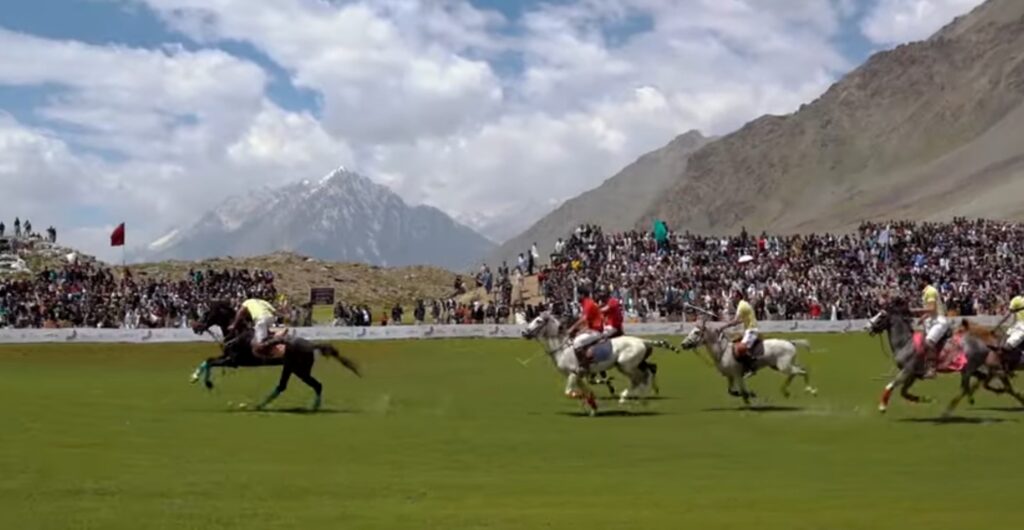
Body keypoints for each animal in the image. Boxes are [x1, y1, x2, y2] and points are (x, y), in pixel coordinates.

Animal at [190, 302, 362, 411]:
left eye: (206, 313)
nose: (195, 326)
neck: (237, 332)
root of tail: (311, 345)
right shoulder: (228, 359)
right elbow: (208, 360)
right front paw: (197, 378)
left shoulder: (233, 361)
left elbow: (210, 361)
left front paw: (205, 382)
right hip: (292, 368)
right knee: (286, 386)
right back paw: (262, 405)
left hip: (299, 370)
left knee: (315, 385)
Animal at [520, 311, 679, 415]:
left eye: (538, 321)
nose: (524, 332)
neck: (563, 348)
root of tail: (643, 341)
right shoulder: (579, 375)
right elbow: (587, 390)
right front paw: (593, 407)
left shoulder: (573, 373)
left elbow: (570, 392)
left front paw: (589, 401)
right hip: (632, 365)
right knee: (646, 374)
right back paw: (639, 396)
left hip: (626, 365)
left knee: (641, 378)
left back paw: (629, 397)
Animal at [679, 319, 815, 407]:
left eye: (696, 332)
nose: (683, 344)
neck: (723, 351)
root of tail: (791, 342)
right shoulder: (730, 376)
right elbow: (731, 391)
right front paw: (747, 395)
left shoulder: (738, 374)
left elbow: (742, 390)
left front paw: (749, 397)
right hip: (778, 366)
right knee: (798, 371)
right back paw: (786, 391)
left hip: (784, 366)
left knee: (801, 371)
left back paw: (810, 390)